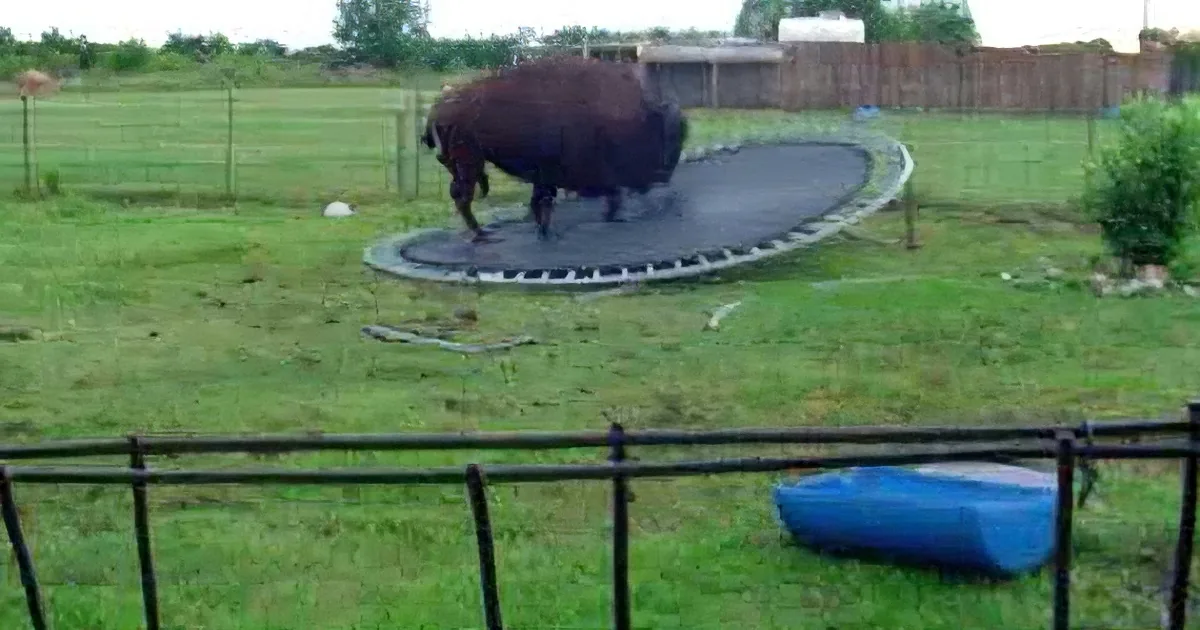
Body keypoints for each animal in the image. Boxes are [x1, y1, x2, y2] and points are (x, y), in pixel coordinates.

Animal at [421, 56, 688, 242]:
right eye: (660, 139)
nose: (663, 175)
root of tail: (438, 108)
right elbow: (552, 200)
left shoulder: (546, 175)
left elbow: (542, 201)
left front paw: (543, 230)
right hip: (469, 163)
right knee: (463, 198)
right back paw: (481, 235)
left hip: (461, 166)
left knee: (458, 195)